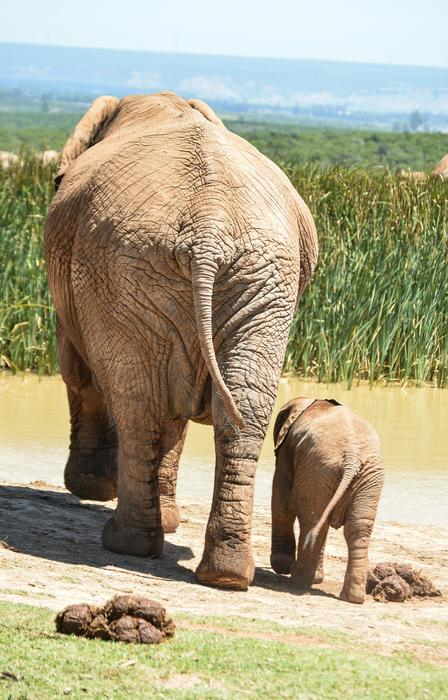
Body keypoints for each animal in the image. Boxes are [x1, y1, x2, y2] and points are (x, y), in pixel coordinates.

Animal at [45, 91, 318, 590]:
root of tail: (209, 228)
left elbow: (79, 370)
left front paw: (91, 488)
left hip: (129, 270)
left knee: (138, 401)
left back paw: (126, 543)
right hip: (257, 280)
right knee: (239, 405)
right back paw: (225, 574)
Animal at [271, 397, 384, 603]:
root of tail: (352, 458)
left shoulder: (286, 454)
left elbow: (282, 502)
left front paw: (282, 566)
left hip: (319, 469)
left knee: (312, 520)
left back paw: (297, 580)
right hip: (366, 478)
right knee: (356, 528)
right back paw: (352, 597)